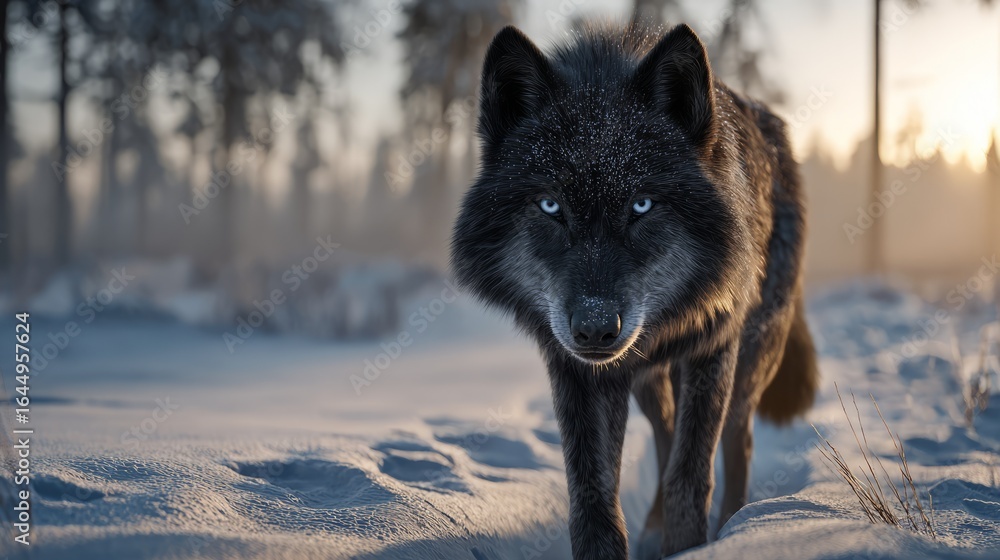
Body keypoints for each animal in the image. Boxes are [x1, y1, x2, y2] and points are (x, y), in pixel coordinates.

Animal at [451, 22, 819, 559]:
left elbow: (690, 477)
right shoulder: (577, 371)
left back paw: (734, 525)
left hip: (749, 359)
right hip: (648, 382)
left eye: (641, 204)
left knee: (737, 439)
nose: (595, 328)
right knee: (664, 437)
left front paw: (690, 548)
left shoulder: (712, 346)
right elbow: (593, 496)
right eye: (550, 205)